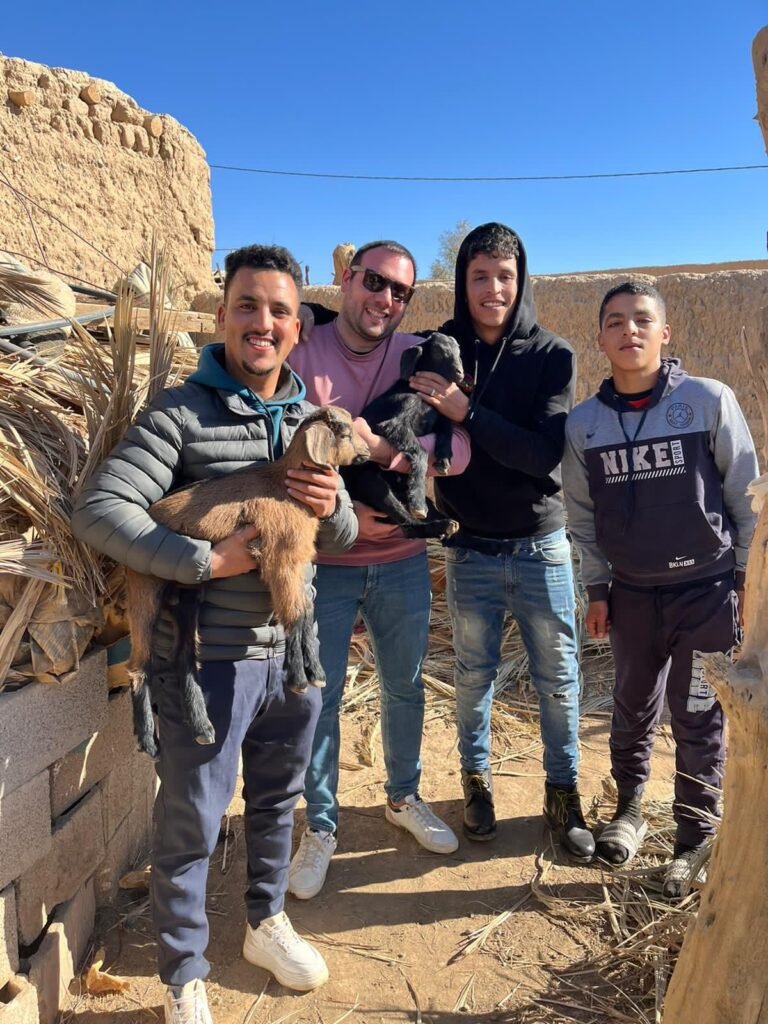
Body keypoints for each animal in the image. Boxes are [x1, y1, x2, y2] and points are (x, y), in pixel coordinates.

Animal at [125, 405, 369, 756]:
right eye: (345, 433)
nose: (366, 453)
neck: (284, 487)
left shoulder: (296, 561)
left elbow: (305, 611)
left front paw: (316, 672)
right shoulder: (279, 559)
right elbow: (294, 614)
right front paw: (299, 678)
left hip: (189, 593)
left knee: (182, 657)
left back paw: (202, 728)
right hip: (144, 586)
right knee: (138, 665)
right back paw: (148, 738)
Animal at [342, 332, 464, 540]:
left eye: (458, 350)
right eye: (438, 353)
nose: (460, 373)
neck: (417, 393)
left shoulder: (436, 415)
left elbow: (446, 427)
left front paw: (444, 459)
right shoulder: (395, 422)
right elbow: (421, 451)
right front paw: (417, 499)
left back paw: (445, 524)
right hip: (371, 483)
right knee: (406, 522)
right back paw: (433, 520)